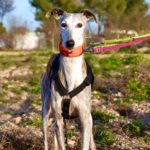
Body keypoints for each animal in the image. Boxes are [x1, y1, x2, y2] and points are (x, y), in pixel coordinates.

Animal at [41, 8, 95, 150]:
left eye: (80, 25)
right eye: (63, 24)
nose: (70, 43)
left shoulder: (84, 119)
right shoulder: (59, 120)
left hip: (89, 118)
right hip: (46, 112)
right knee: (46, 139)